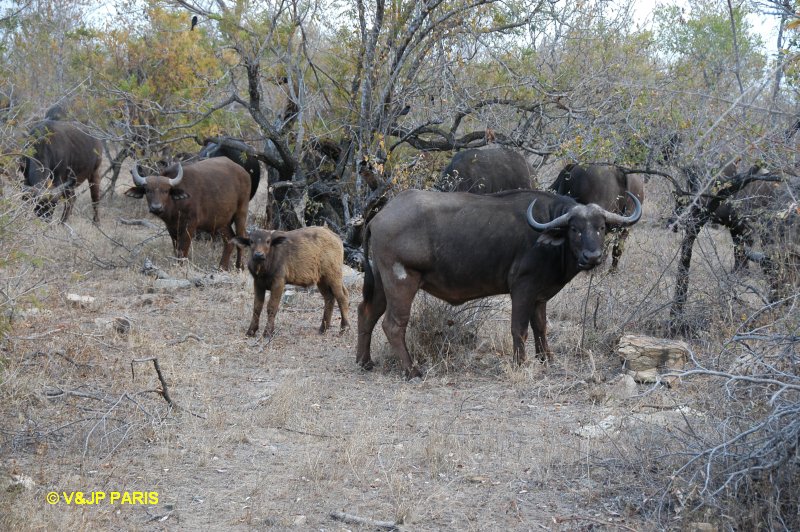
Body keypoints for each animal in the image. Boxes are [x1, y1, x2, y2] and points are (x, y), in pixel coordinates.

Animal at [356, 187, 644, 378]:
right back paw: (412, 370)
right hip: (402, 281)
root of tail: (379, 217)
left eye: (601, 227)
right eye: (575, 228)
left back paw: (364, 361)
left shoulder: (539, 295)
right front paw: (521, 363)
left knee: (366, 313)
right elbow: (519, 328)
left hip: (381, 282)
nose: (592, 257)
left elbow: (541, 327)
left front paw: (546, 359)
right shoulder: (523, 289)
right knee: (393, 325)